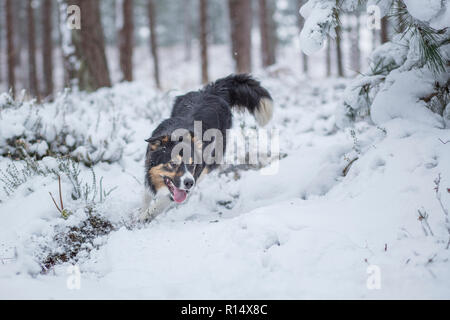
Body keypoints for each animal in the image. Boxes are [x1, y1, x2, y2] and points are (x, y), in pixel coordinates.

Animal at [141, 74, 272, 222]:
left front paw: (146, 215)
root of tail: (212, 92)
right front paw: (140, 212)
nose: (189, 183)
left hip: (214, 157)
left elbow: (164, 201)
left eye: (192, 164)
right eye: (173, 164)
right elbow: (146, 194)